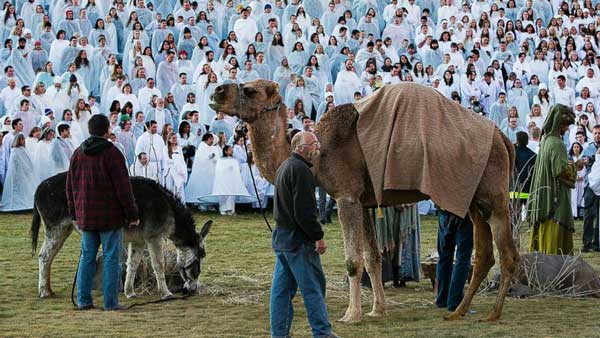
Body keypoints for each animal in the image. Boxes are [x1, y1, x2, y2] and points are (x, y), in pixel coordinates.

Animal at [212, 79, 520, 322]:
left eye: (250, 90)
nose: (217, 91)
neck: (320, 154)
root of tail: (503, 138)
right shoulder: (365, 203)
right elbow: (373, 258)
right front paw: (377, 310)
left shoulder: (346, 197)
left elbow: (353, 260)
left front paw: (352, 315)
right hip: (474, 199)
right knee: (484, 253)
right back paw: (458, 311)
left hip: (494, 195)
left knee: (507, 252)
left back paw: (493, 313)